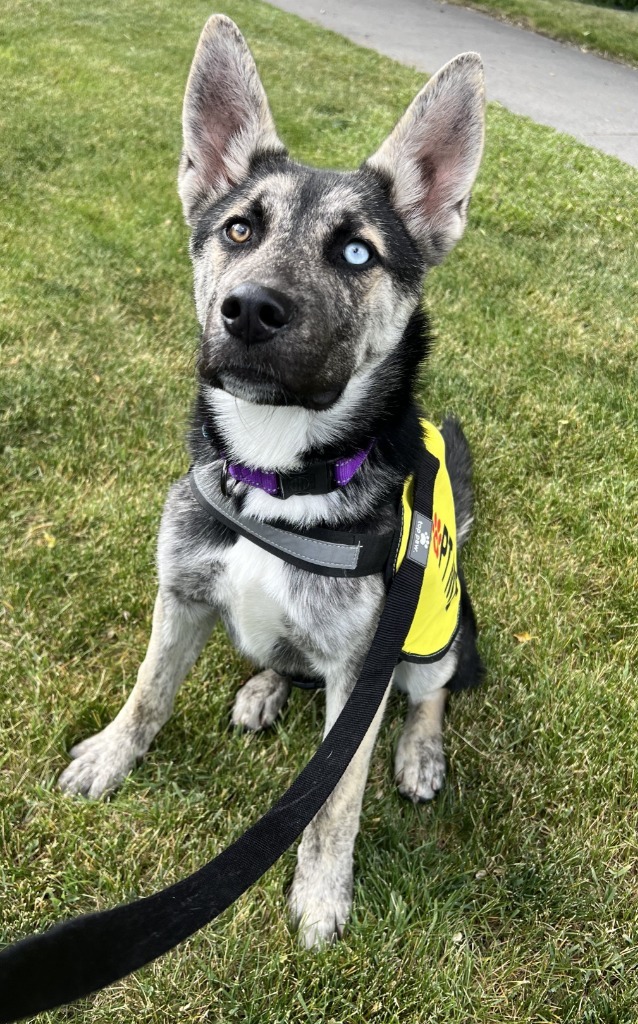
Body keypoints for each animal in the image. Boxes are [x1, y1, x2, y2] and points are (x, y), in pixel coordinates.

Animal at [59, 14, 487, 950]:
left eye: (357, 252)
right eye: (239, 231)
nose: (250, 310)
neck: (280, 476)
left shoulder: (361, 673)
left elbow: (333, 800)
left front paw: (322, 893)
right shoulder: (181, 594)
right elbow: (147, 693)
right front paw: (110, 756)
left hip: (435, 634)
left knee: (430, 693)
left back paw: (420, 751)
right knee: (285, 664)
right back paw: (263, 690)